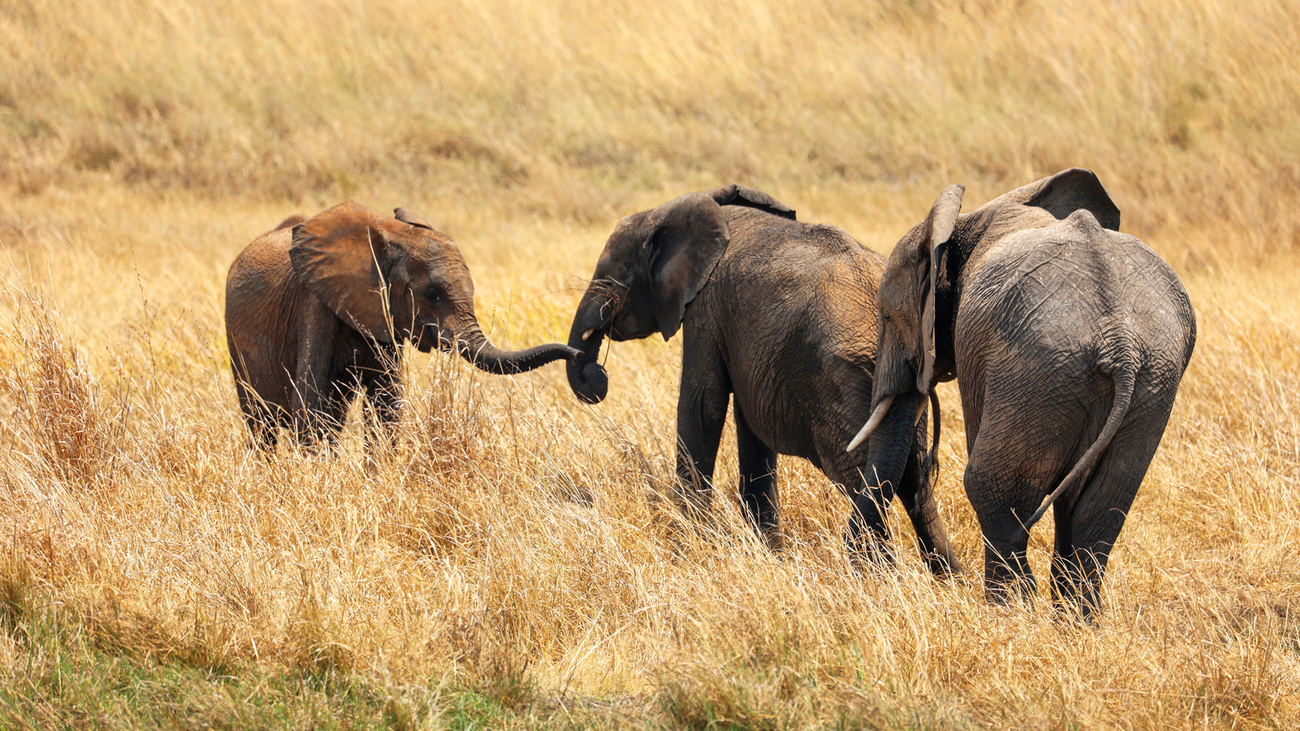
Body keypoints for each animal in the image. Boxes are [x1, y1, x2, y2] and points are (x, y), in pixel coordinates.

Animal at [226, 201, 577, 447]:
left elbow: (387, 406)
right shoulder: (314, 305)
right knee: (262, 424)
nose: (578, 354)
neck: (387, 235)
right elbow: (311, 403)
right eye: (432, 294)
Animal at [564, 182, 961, 569]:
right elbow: (749, 427)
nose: (597, 375)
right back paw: (946, 578)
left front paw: (685, 552)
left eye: (609, 278)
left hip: (845, 388)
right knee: (915, 483)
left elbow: (702, 408)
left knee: (864, 480)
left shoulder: (706, 306)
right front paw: (771, 553)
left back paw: (878, 577)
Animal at [842, 166, 1196, 613]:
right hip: (1150, 383)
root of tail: (1120, 343)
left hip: (1037, 372)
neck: (963, 222)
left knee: (991, 488)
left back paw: (1010, 610)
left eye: (887, 316)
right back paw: (1072, 621)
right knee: (1098, 511)